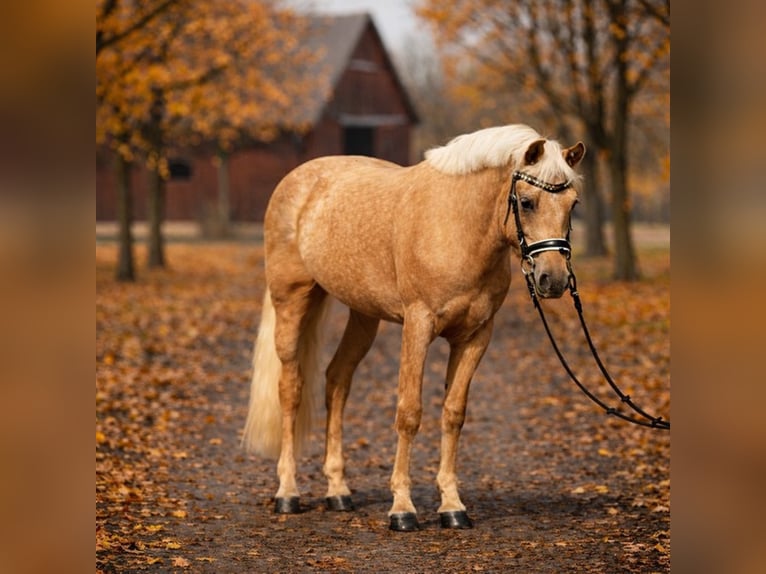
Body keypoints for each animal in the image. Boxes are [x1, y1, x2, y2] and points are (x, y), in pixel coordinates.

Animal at [242, 124, 585, 531]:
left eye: (573, 204)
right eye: (528, 202)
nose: (554, 280)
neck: (457, 225)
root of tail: (296, 181)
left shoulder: (475, 336)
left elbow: (453, 414)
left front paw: (452, 506)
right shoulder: (417, 327)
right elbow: (409, 413)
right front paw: (402, 509)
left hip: (363, 315)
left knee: (337, 381)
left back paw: (338, 492)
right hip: (292, 301)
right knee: (291, 388)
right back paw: (288, 493)